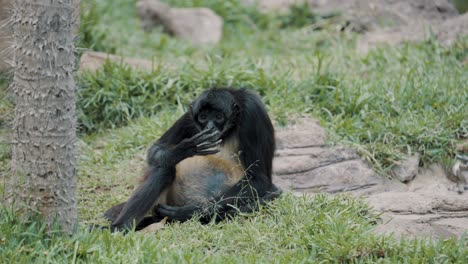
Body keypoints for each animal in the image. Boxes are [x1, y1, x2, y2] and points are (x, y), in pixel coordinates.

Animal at [103, 87, 282, 231]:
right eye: (203, 117)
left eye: (218, 116)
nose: (210, 127)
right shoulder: (189, 116)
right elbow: (156, 148)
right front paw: (182, 150)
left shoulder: (253, 110)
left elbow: (259, 180)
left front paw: (188, 212)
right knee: (165, 167)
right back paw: (119, 228)